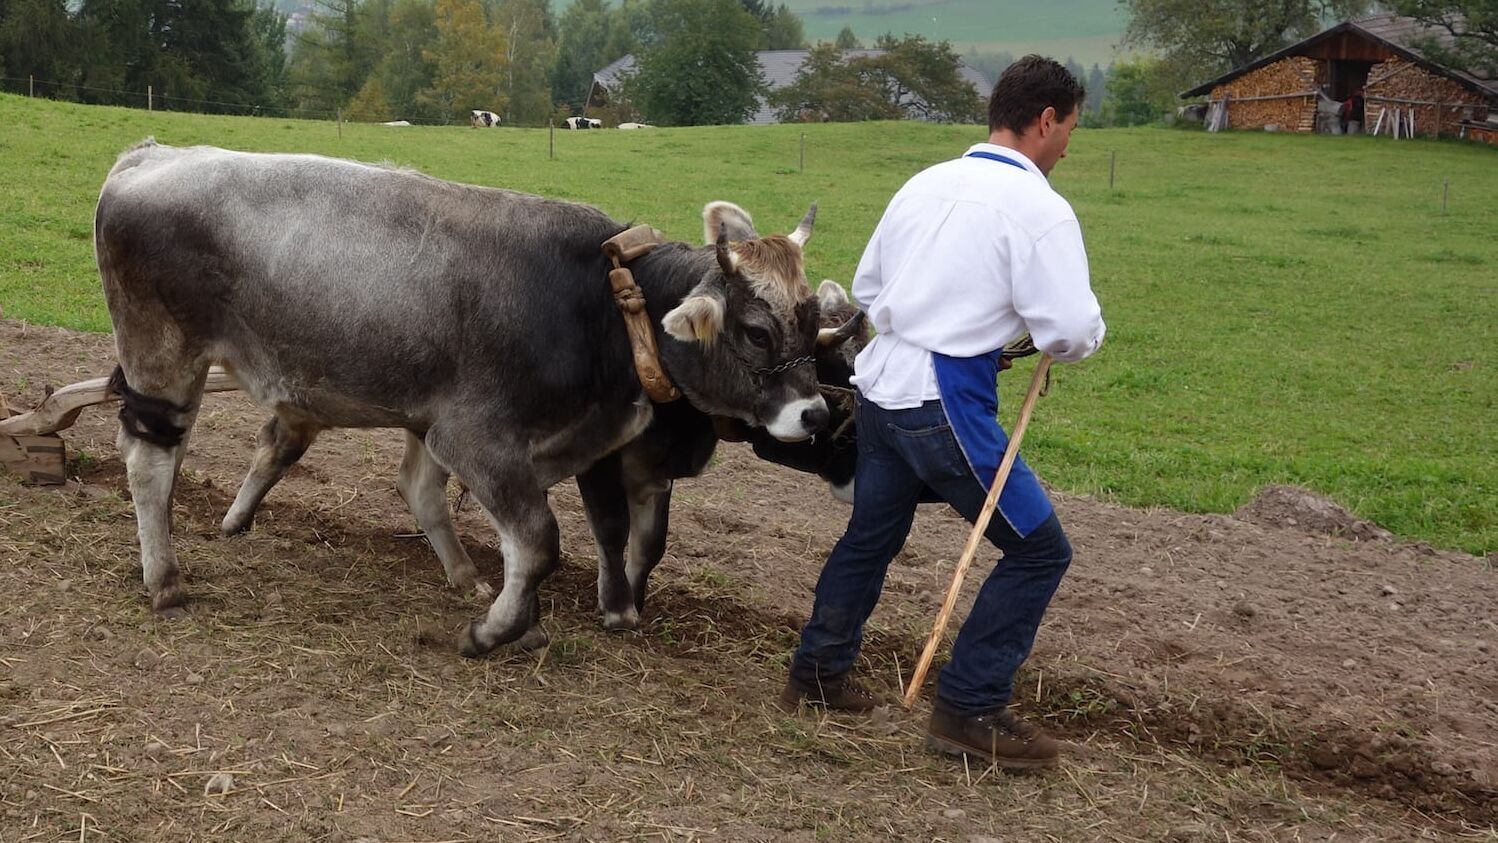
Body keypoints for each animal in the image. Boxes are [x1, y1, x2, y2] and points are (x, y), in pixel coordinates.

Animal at [96, 138, 832, 655]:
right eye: (757, 331)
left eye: (812, 321)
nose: (818, 412)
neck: (595, 303)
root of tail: (153, 154)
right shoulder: (476, 436)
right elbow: (539, 540)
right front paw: (492, 632)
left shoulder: (463, 429)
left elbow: (480, 519)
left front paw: (507, 611)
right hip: (162, 355)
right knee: (149, 460)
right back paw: (164, 579)